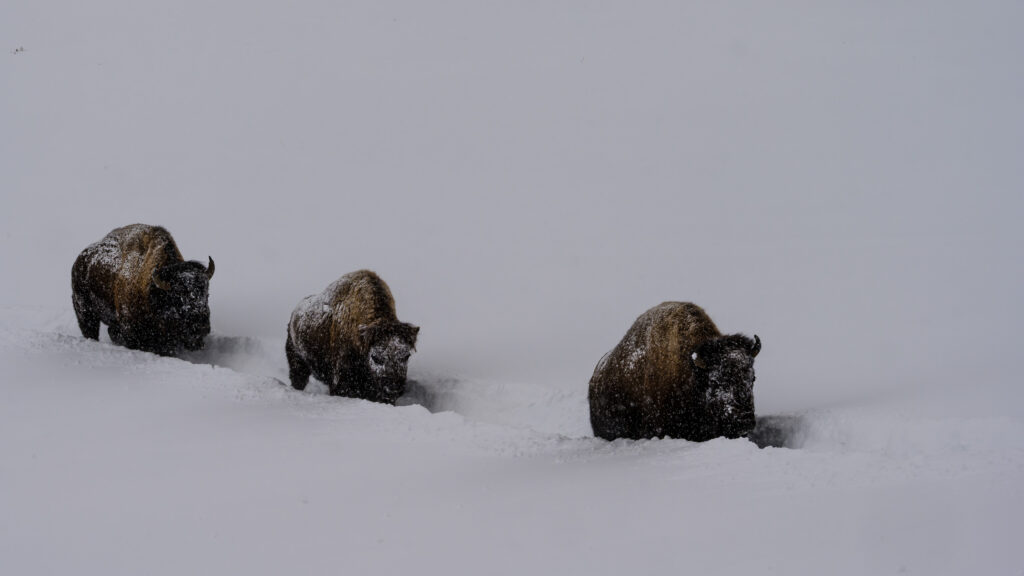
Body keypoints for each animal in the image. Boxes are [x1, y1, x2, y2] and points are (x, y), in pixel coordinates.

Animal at [286, 270, 419, 404]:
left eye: (406, 356)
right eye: (375, 357)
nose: (393, 388)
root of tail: (294, 315)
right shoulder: (341, 385)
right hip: (297, 363)